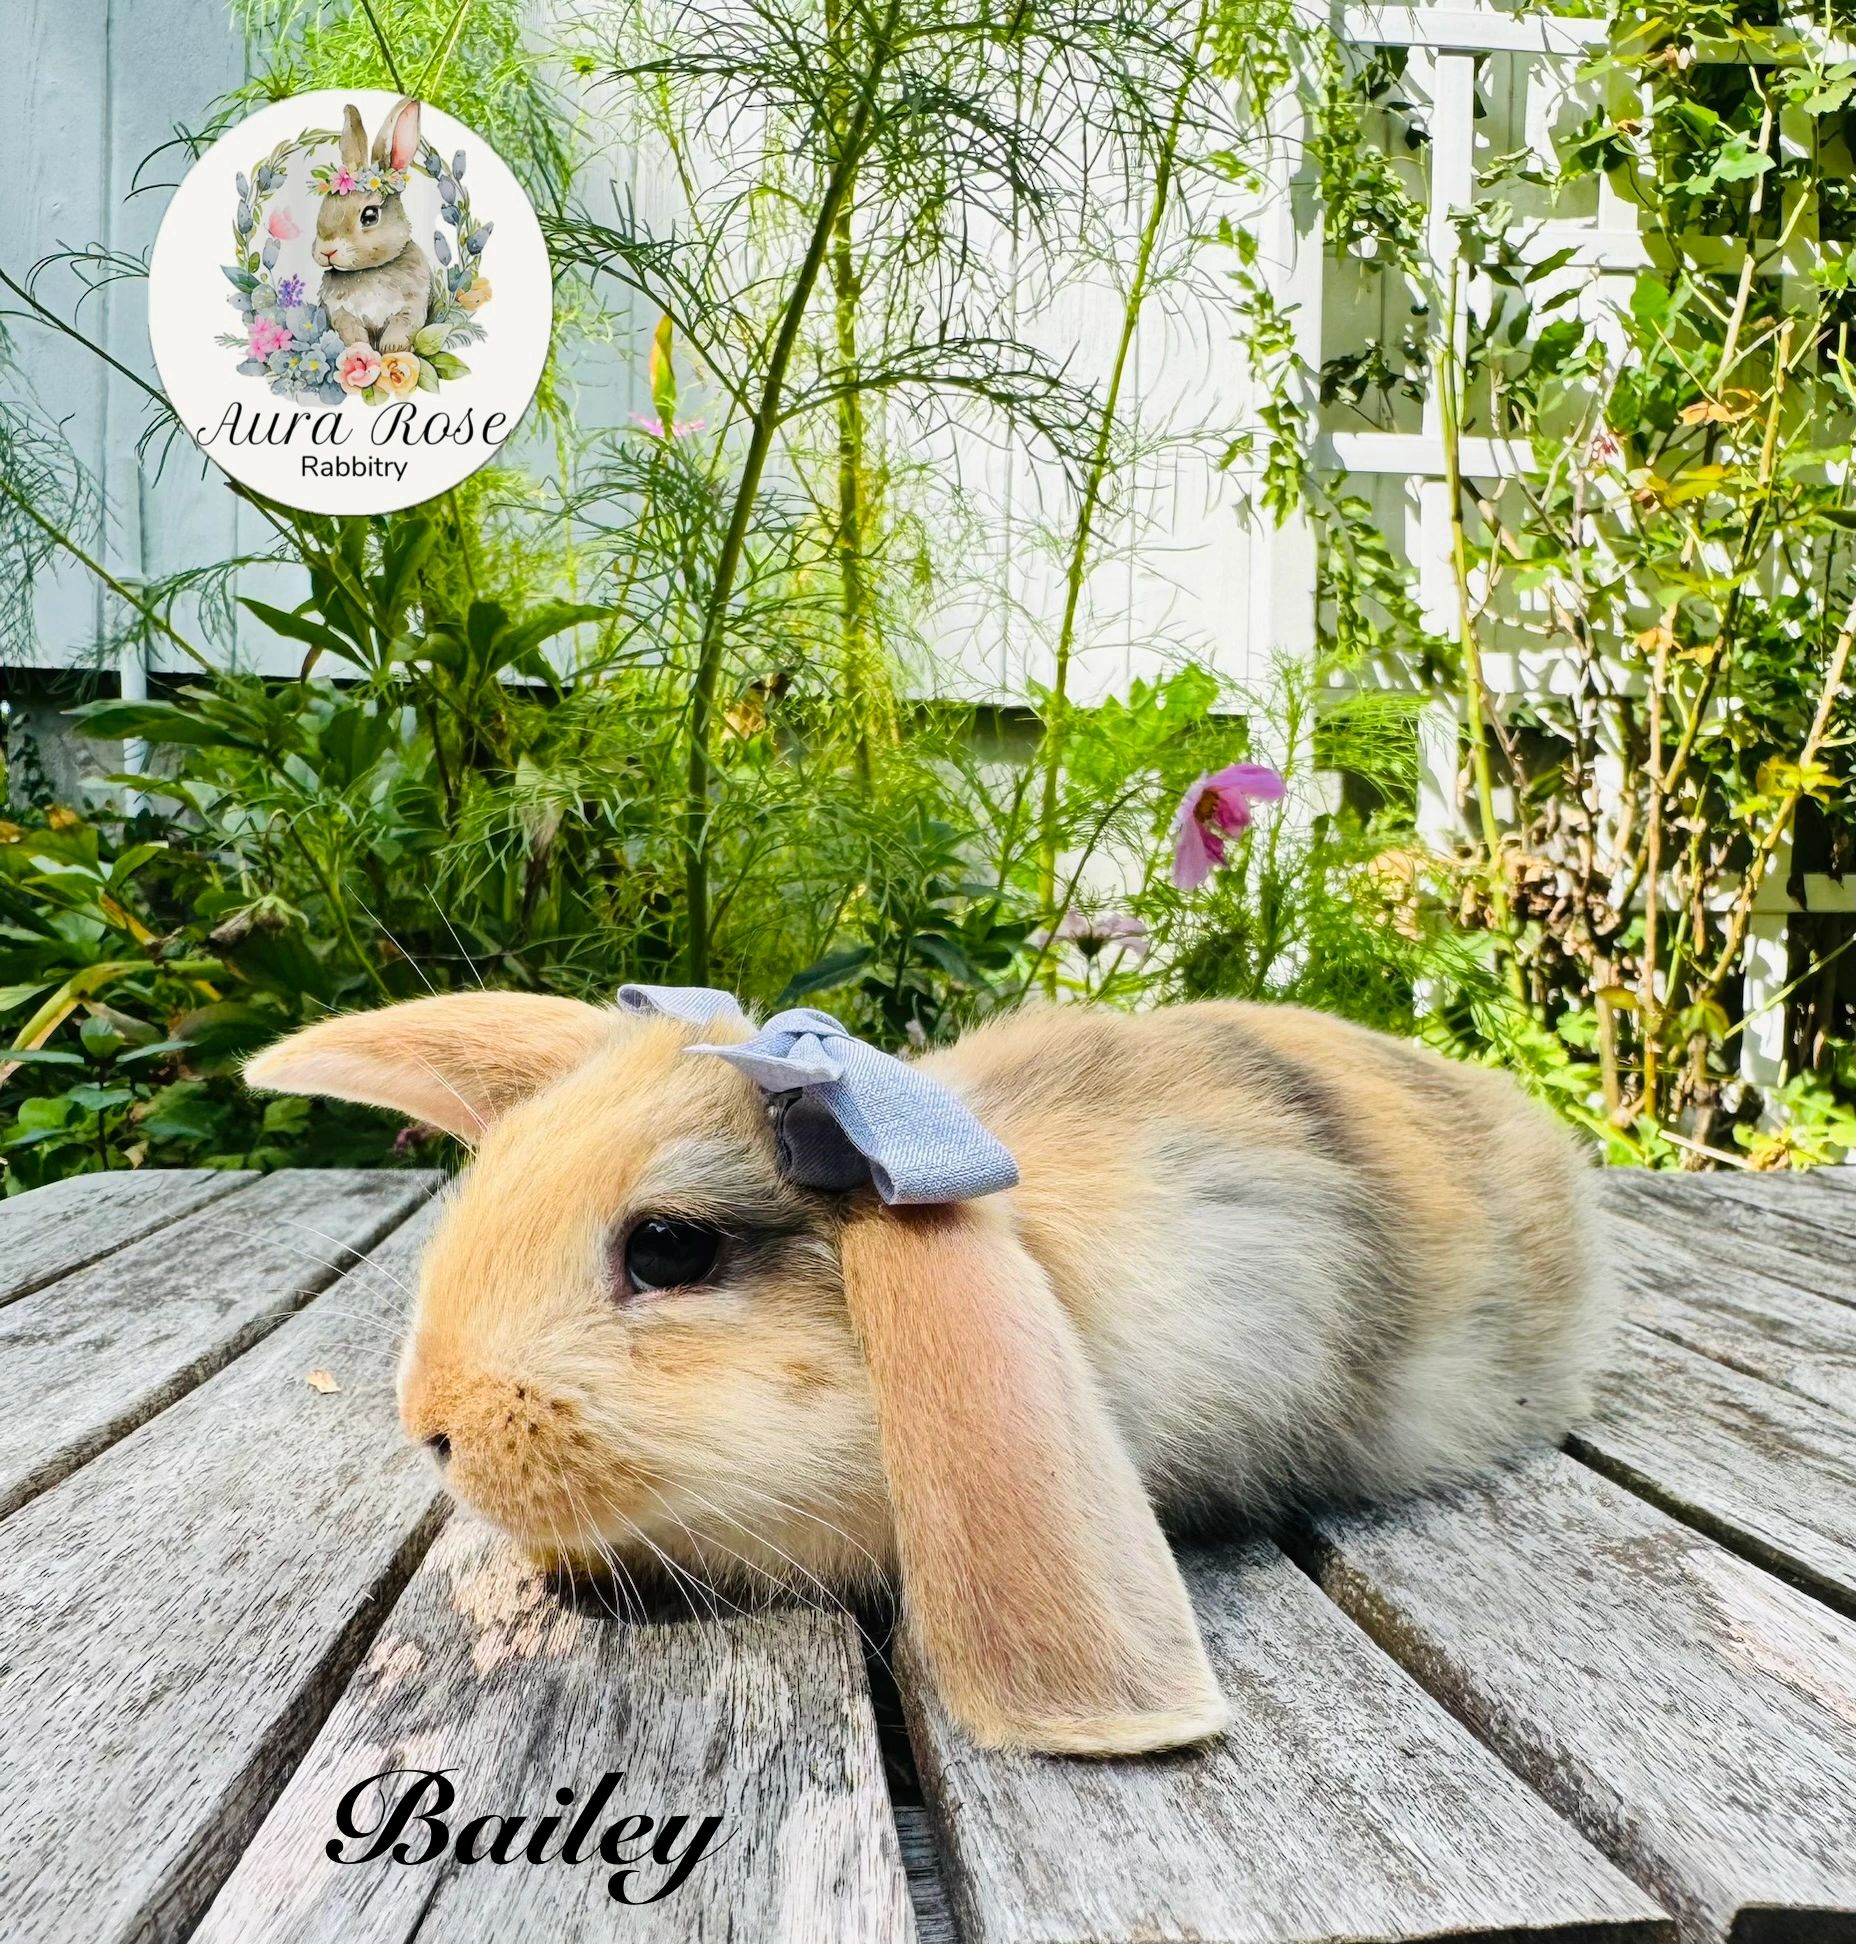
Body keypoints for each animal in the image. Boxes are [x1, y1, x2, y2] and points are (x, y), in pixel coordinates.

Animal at [314, 98, 432, 354]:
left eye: (369, 216)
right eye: (324, 206)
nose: (326, 251)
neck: (370, 270)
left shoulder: (411, 307)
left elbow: (401, 328)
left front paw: (392, 349)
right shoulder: (342, 314)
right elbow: (354, 336)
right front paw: (362, 352)